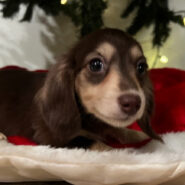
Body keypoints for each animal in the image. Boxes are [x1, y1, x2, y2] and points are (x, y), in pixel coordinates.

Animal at [0, 28, 160, 150]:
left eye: (141, 67)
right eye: (95, 64)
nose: (133, 103)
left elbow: (119, 130)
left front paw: (141, 135)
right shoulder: (51, 137)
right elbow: (97, 143)